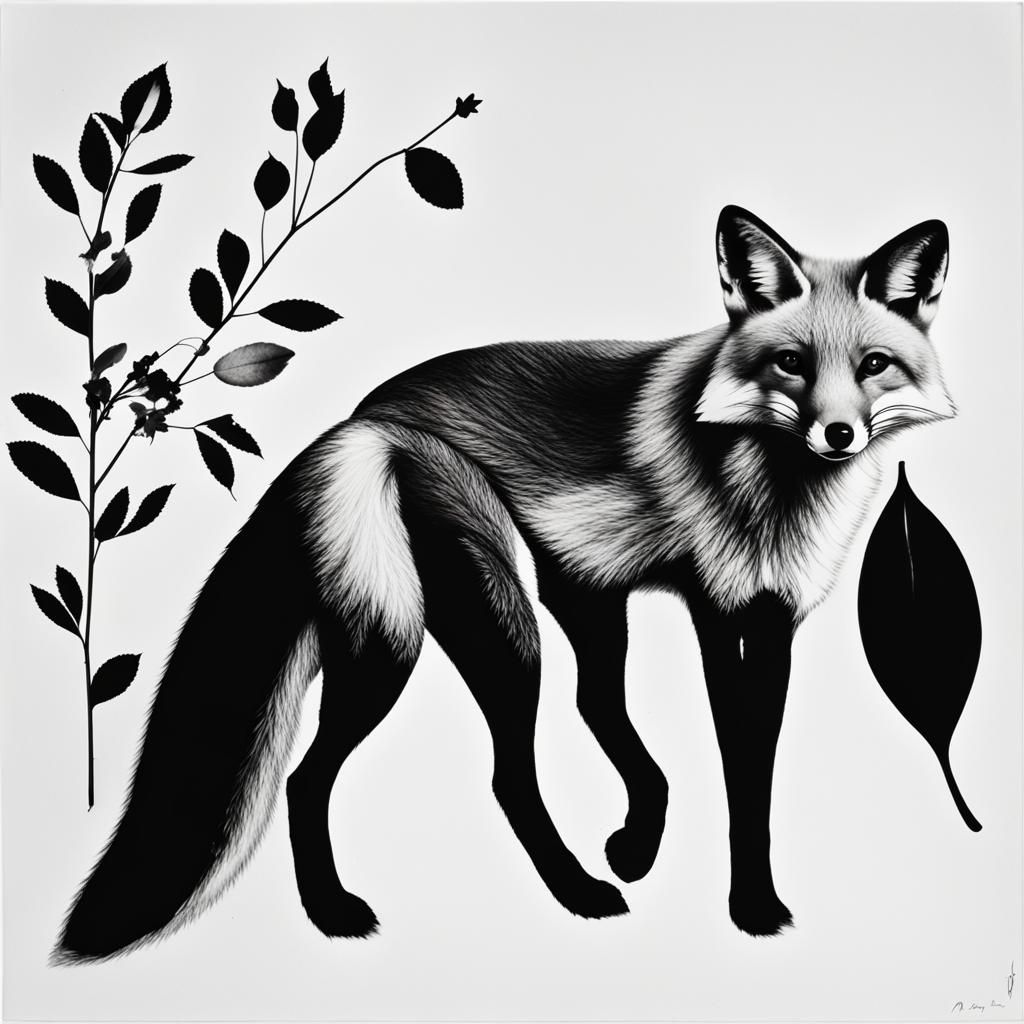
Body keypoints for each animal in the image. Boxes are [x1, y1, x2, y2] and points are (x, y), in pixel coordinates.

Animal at [55, 205, 955, 963]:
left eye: (874, 366)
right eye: (791, 364)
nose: (837, 435)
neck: (775, 488)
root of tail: (360, 419)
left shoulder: (769, 622)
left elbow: (754, 777)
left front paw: (741, 893)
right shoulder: (716, 610)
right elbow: (739, 770)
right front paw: (747, 907)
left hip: (566, 595)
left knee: (588, 710)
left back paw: (624, 847)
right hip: (457, 628)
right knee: (405, 777)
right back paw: (445, 902)